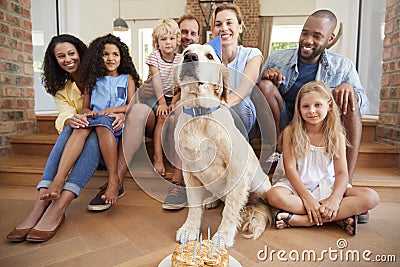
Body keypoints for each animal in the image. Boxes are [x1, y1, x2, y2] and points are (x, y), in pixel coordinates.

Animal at [174, 43, 272, 248]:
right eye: (186, 51)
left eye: (210, 56)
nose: (190, 57)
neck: (200, 114)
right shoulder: (189, 170)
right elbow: (193, 205)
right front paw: (190, 228)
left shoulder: (237, 170)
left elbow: (231, 210)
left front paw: (223, 235)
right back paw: (212, 200)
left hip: (261, 185)